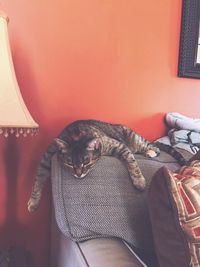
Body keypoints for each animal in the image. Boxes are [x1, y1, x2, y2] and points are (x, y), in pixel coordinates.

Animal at [27, 120, 186, 213]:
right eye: (70, 163)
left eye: (86, 162)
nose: (78, 174)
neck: (76, 135)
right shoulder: (48, 156)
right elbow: (38, 179)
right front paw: (34, 202)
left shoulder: (119, 146)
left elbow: (132, 162)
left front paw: (139, 181)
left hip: (136, 140)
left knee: (154, 147)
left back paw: (151, 152)